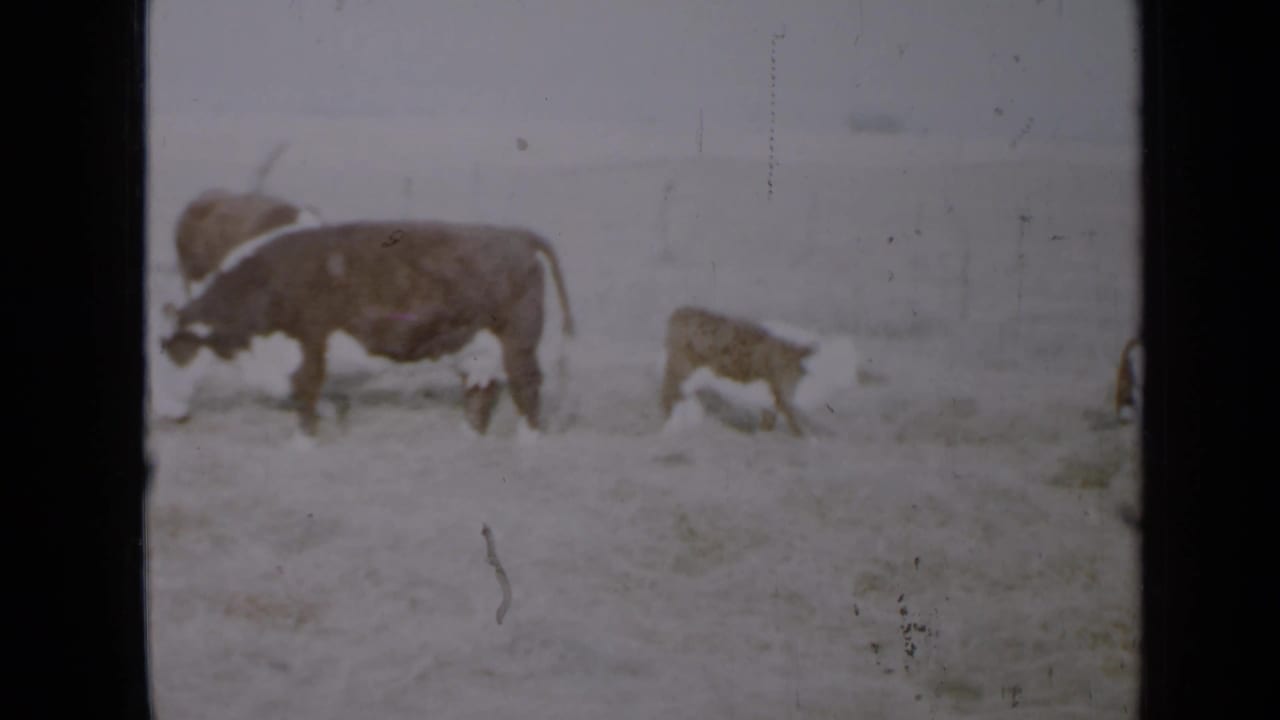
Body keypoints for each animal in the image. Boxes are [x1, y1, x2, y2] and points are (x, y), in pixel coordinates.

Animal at [157, 220, 575, 444]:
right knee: (480, 388)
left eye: (174, 352)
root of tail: (517, 235)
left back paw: (527, 441)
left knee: (527, 385)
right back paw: (468, 435)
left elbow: (305, 390)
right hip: (475, 346)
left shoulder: (310, 342)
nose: (164, 414)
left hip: (517, 341)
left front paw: (302, 444)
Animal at [657, 306, 859, 437]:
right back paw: (670, 415)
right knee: (668, 388)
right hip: (681, 363)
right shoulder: (779, 387)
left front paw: (766, 429)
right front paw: (803, 435)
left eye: (800, 369)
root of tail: (678, 314)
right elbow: (787, 413)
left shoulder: (775, 386)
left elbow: (772, 411)